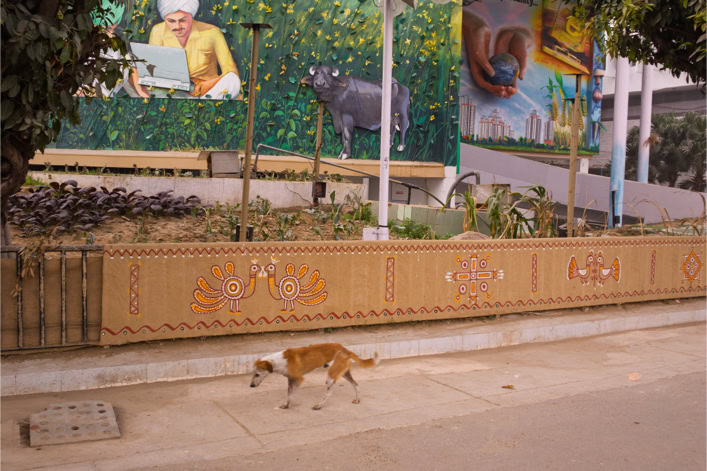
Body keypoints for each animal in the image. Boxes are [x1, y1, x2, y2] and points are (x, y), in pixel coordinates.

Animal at [250, 343, 379, 410]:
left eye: (257, 374)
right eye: (253, 373)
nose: (251, 386)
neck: (276, 361)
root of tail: (345, 350)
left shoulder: (298, 379)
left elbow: (291, 394)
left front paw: (289, 404)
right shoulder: (290, 379)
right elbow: (288, 394)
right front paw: (286, 404)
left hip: (330, 376)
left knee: (329, 393)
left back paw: (319, 405)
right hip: (344, 373)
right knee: (356, 385)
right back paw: (357, 399)